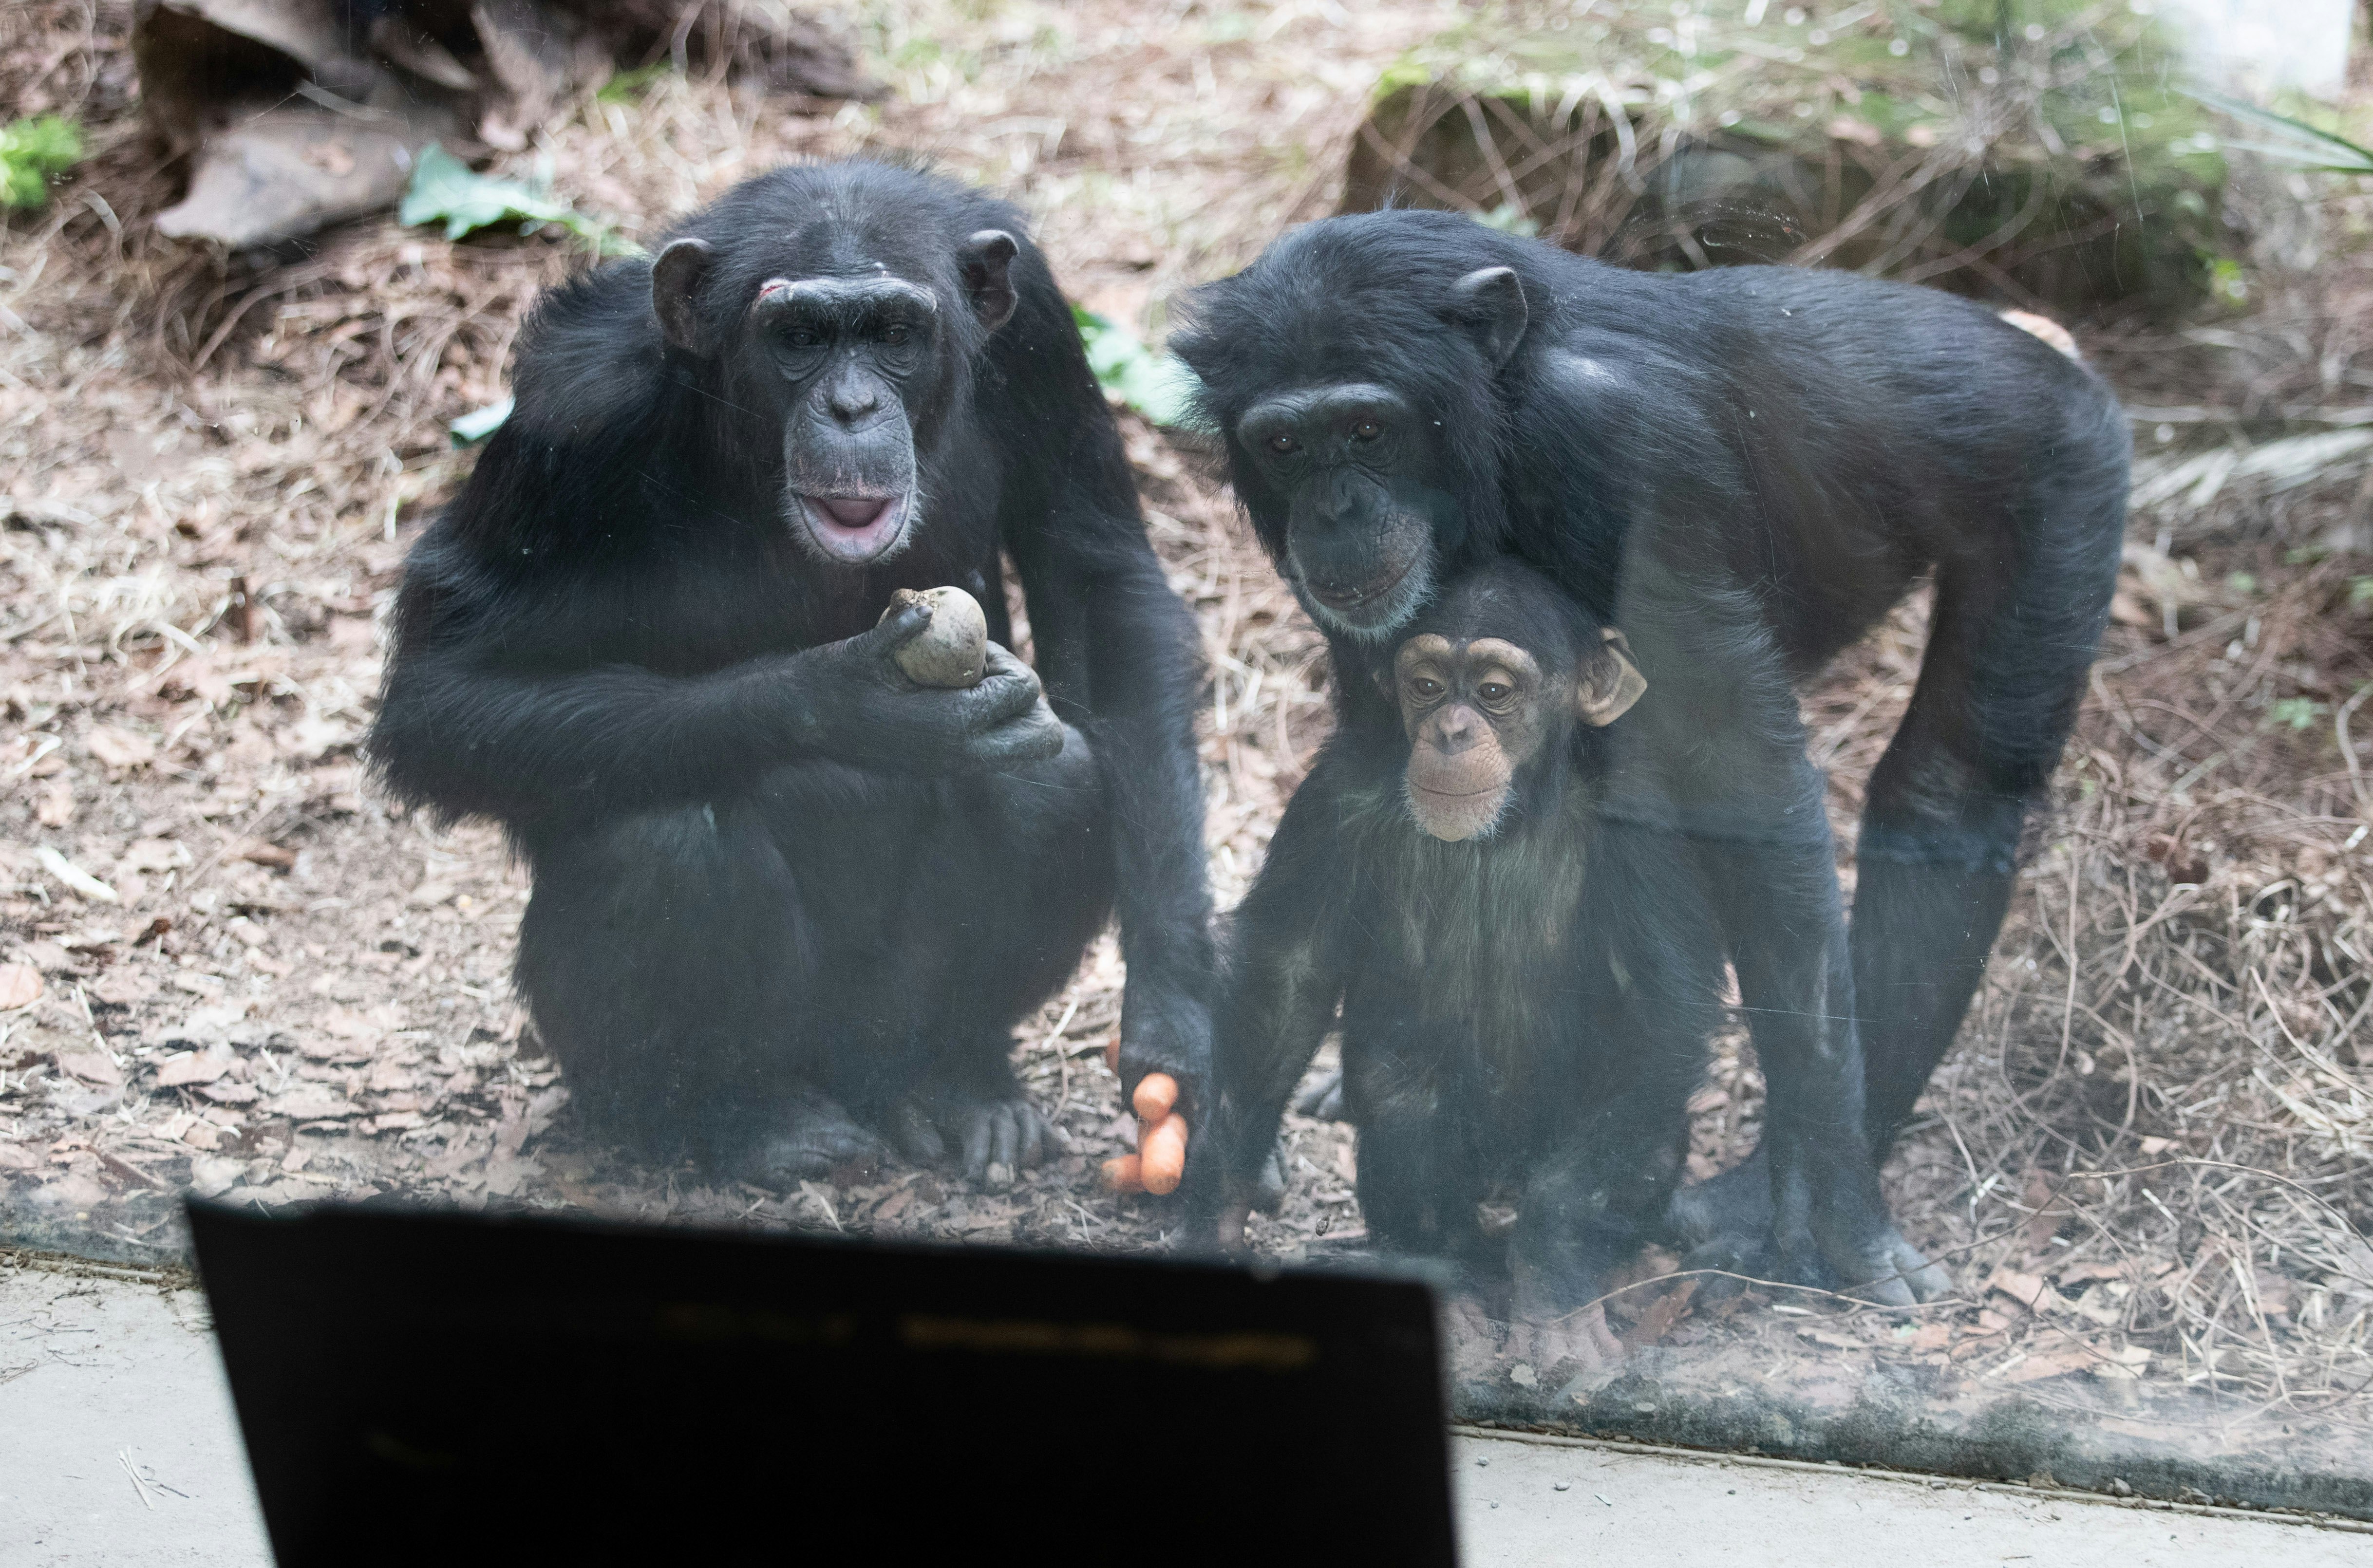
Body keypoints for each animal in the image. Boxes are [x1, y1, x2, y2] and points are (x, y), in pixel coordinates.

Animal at [382, 162, 1224, 1186]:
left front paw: (1177, 1031)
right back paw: (745, 1117)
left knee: (1051, 777)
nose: (852, 408)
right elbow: (444, 689)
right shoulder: (572, 405)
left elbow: (1099, 584)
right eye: (799, 339)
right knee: (660, 844)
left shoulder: (1041, 335)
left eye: (895, 335)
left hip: (880, 1022)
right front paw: (854, 705)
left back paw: (956, 1080)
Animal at [1186, 557, 1727, 1366]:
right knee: (1405, 1095)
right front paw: (1218, 1212)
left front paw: (1554, 1287)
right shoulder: (1334, 792)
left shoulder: (1644, 825)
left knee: (1645, 1134)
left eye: (1495, 693)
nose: (1450, 730)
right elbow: (1293, 969)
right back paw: (1450, 1280)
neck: (1511, 817)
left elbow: (1659, 1015)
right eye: (1428, 685)